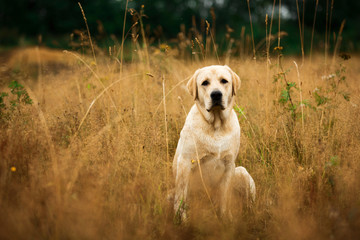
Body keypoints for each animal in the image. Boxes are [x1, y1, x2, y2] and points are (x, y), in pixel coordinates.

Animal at [172, 64, 255, 222]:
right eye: (205, 83)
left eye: (224, 81)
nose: (216, 94)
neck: (216, 126)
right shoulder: (185, 162)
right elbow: (182, 196)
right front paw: (182, 220)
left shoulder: (229, 165)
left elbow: (224, 198)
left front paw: (226, 219)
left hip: (242, 172)